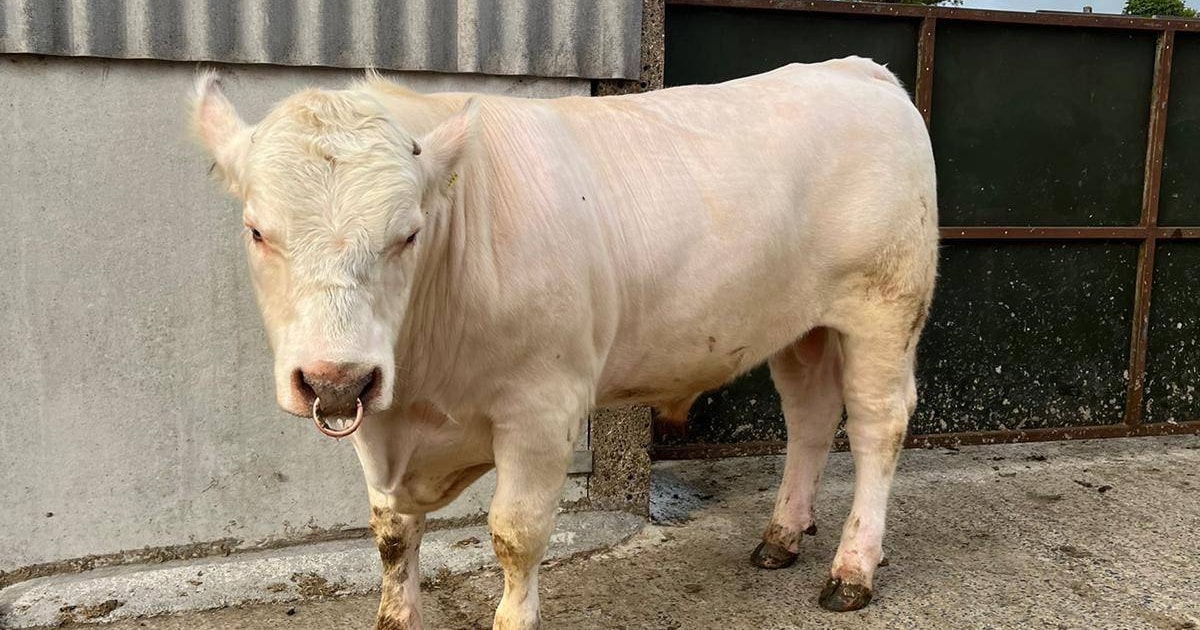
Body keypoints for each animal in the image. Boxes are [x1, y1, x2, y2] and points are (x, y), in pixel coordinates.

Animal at [190, 57, 938, 629]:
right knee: (809, 417)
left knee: (876, 425)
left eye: (409, 233)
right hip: (798, 325)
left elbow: (515, 535)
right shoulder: (381, 414)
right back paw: (781, 536)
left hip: (884, 306)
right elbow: (392, 535)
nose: (335, 379)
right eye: (257, 230)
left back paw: (852, 570)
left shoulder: (542, 407)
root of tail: (858, 70)